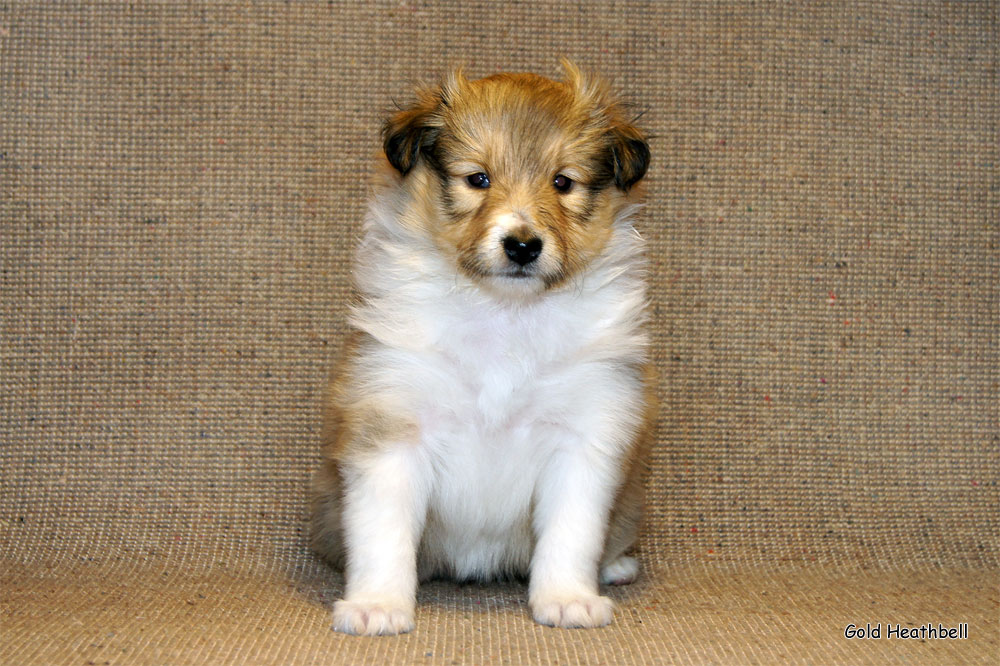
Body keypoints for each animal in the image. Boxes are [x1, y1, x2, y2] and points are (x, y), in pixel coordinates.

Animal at [312, 61, 656, 632]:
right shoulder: (392, 427)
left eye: (562, 182)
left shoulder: (584, 434)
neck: (503, 316)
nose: (522, 245)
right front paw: (376, 606)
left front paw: (567, 599)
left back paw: (616, 566)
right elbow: (383, 535)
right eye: (478, 179)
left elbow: (572, 533)